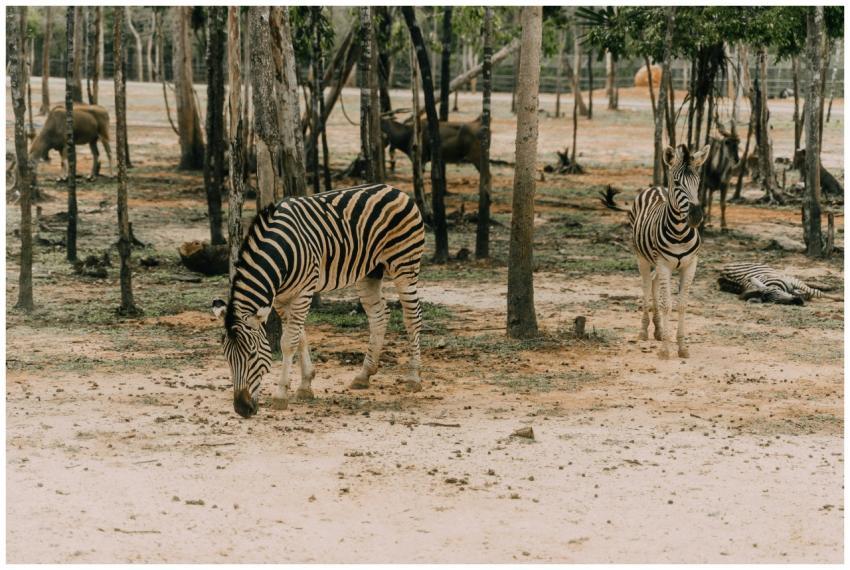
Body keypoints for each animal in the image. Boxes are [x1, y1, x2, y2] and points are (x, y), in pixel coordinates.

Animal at [212, 183, 426, 418]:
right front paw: (305, 385)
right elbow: (299, 337)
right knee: (379, 315)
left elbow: (288, 342)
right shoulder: (282, 298)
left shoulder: (304, 291)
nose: (241, 409)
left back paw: (414, 377)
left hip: (404, 264)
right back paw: (364, 375)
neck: (280, 253)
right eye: (226, 357)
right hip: (370, 271)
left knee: (412, 318)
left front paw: (281, 395)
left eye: (251, 355)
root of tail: (395, 189)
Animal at [628, 144, 710, 359]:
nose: (696, 216)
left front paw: (682, 346)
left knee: (654, 283)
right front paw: (665, 349)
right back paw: (644, 330)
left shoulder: (690, 265)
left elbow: (681, 304)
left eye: (698, 182)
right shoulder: (664, 264)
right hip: (642, 257)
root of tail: (657, 186)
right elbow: (667, 304)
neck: (680, 232)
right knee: (646, 286)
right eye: (677, 182)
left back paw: (658, 329)